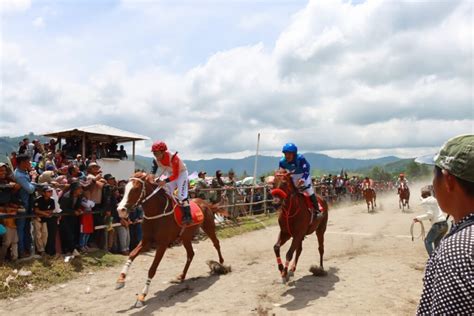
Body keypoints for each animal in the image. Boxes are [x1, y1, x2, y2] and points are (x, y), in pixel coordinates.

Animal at [114, 172, 226, 308]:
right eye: (124, 189)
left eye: (135, 189)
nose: (120, 210)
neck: (156, 213)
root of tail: (205, 203)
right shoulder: (146, 241)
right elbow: (132, 254)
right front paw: (121, 280)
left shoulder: (162, 244)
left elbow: (152, 269)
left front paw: (142, 296)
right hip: (185, 237)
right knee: (191, 254)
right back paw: (182, 276)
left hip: (208, 227)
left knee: (216, 243)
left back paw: (222, 264)